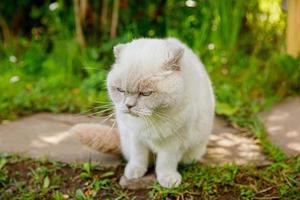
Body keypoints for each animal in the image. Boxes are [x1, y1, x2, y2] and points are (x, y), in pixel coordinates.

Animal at [104, 37, 214, 188]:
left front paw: (168, 180)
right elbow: (138, 156)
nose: (129, 105)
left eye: (145, 93)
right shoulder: (136, 137)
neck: (151, 118)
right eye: (120, 90)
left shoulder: (173, 142)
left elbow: (165, 162)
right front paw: (135, 172)